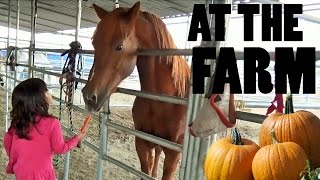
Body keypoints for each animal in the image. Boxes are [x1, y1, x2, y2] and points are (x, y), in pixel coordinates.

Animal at [82, 1, 190, 180]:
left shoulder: (174, 154)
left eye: (119, 46)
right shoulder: (141, 143)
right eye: (94, 43)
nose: (89, 97)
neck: (167, 101)